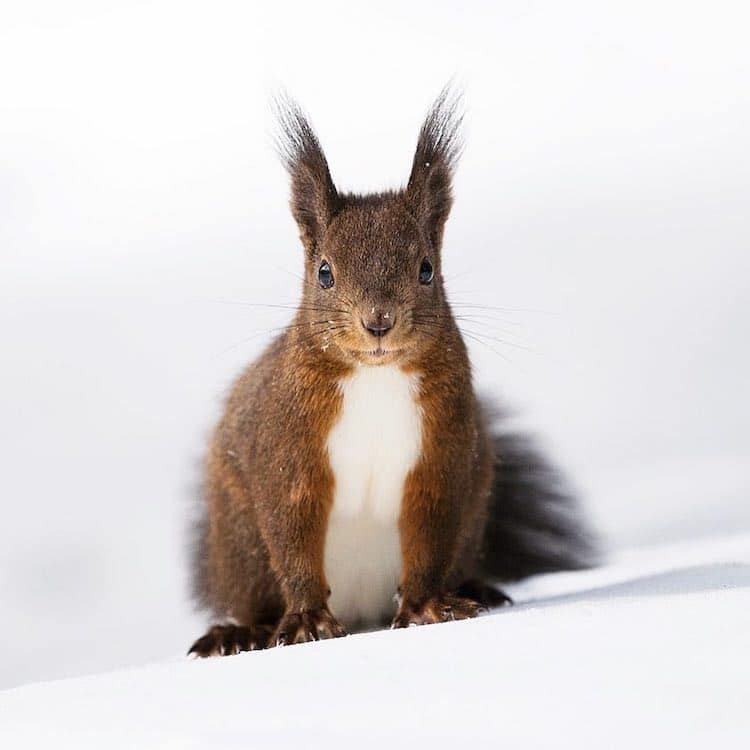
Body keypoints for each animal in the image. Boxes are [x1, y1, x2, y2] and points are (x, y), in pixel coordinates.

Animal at [189, 89, 592, 656]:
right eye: (324, 273)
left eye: (426, 269)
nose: (378, 321)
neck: (374, 377)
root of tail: (363, 612)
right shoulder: (286, 444)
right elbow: (291, 531)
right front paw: (308, 620)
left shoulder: (442, 449)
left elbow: (430, 531)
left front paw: (427, 608)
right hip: (239, 548)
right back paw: (239, 632)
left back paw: (476, 588)